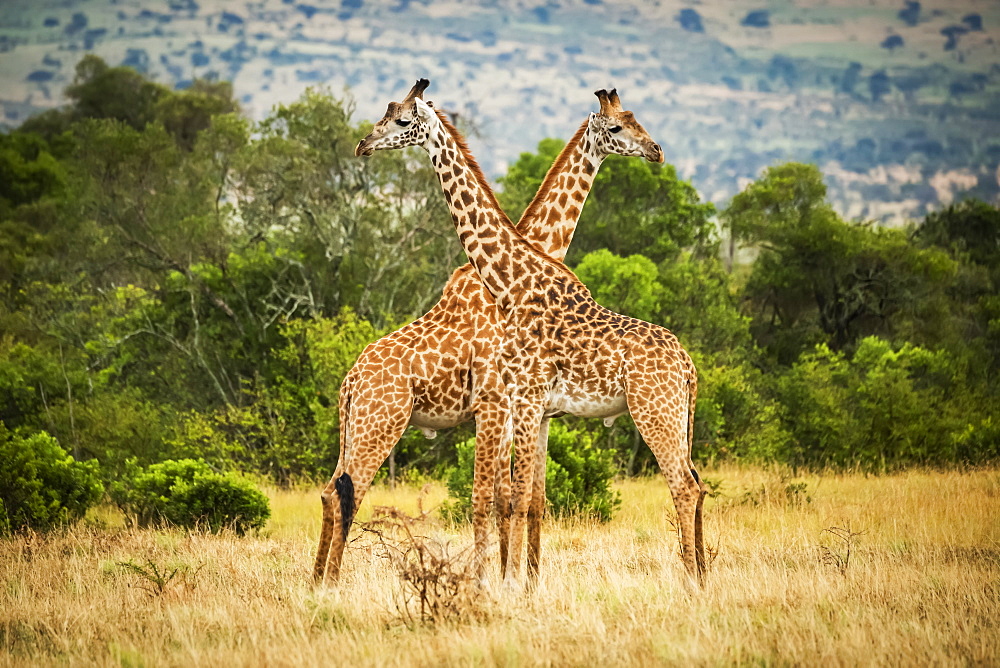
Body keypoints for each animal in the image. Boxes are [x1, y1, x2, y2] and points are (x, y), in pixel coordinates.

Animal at [308, 82, 664, 584]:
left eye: (633, 120)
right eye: (616, 127)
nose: (655, 150)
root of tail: (350, 382)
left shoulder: (531, 412)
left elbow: (525, 499)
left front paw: (520, 578)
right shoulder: (495, 406)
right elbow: (494, 498)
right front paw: (493, 580)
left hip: (357, 427)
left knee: (330, 491)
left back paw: (318, 582)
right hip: (380, 424)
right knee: (348, 493)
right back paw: (331, 584)